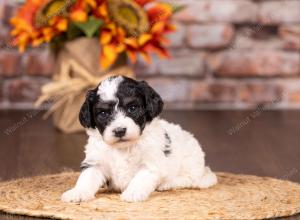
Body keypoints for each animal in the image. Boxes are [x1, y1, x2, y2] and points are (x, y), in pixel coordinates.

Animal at [61, 75, 217, 203]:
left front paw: (133, 193)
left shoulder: (150, 163)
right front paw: (77, 193)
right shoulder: (95, 161)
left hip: (190, 164)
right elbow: (87, 178)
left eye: (133, 108)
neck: (123, 148)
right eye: (103, 113)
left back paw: (167, 184)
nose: (119, 131)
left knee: (190, 179)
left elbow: (140, 178)